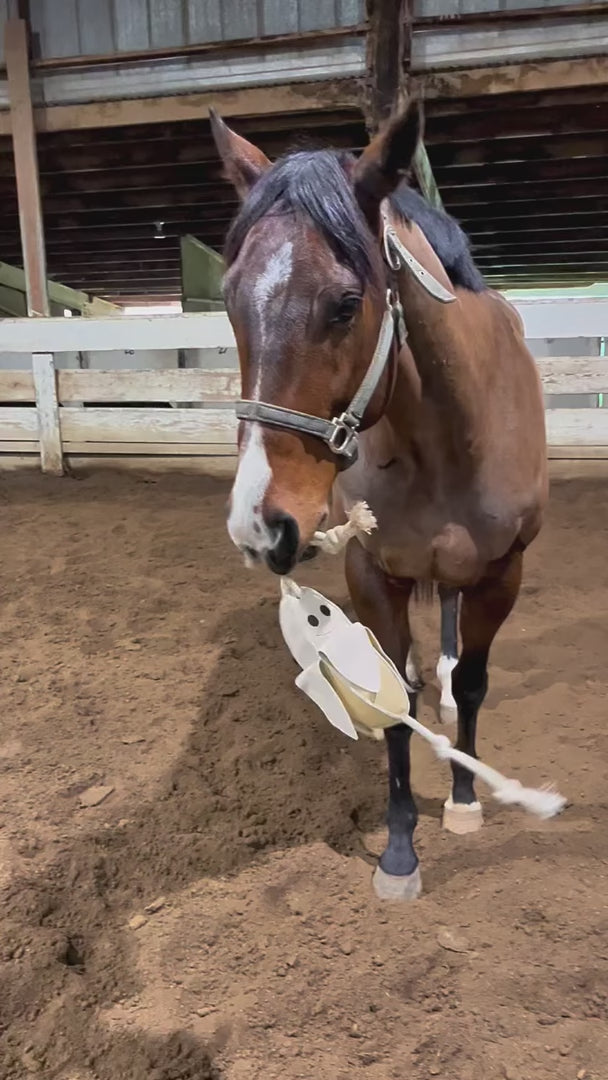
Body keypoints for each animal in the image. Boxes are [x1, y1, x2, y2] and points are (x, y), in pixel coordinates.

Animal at [210, 101, 548, 900]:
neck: (448, 434)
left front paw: (463, 800)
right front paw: (399, 850)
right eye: (231, 300)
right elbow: (395, 703)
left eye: (345, 304)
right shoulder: (371, 573)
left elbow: (478, 685)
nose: (259, 524)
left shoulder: (503, 573)